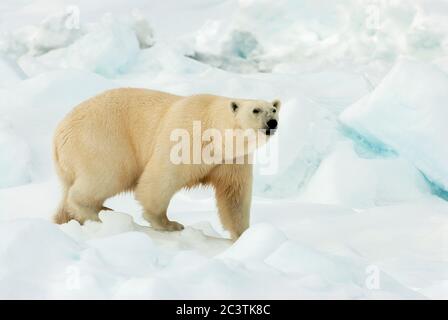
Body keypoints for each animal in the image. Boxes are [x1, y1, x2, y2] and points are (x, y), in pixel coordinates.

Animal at [53, 89, 280, 239]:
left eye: (273, 109)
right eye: (256, 110)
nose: (272, 122)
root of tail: (59, 135)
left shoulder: (231, 160)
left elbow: (234, 196)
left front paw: (244, 234)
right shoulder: (186, 139)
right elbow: (160, 179)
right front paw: (170, 224)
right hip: (103, 140)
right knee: (106, 176)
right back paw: (97, 213)